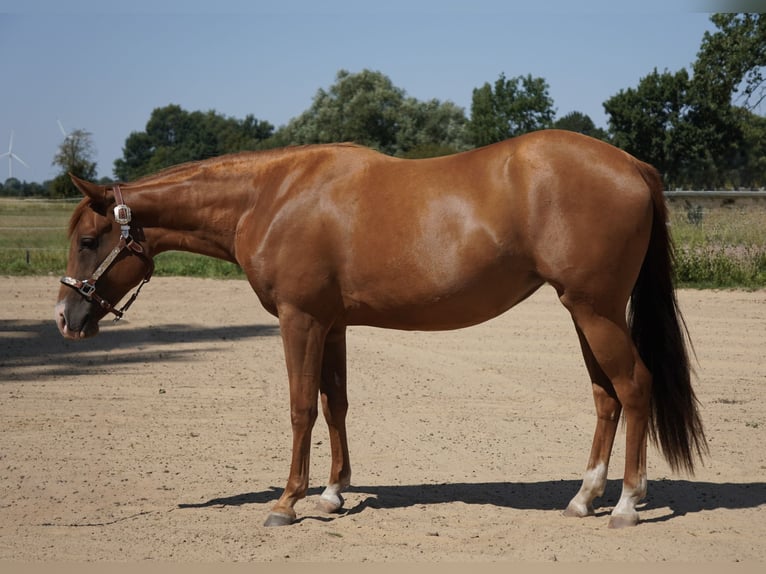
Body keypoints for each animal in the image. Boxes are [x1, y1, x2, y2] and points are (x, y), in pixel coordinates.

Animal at [54, 129, 707, 528]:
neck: (272, 196)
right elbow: (335, 403)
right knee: (606, 396)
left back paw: (626, 504)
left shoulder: (301, 319)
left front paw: (287, 502)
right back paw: (584, 498)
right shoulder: (332, 324)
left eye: (89, 240)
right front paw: (332, 494)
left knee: (635, 387)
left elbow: (301, 407)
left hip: (597, 310)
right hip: (584, 311)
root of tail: (633, 166)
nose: (65, 318)